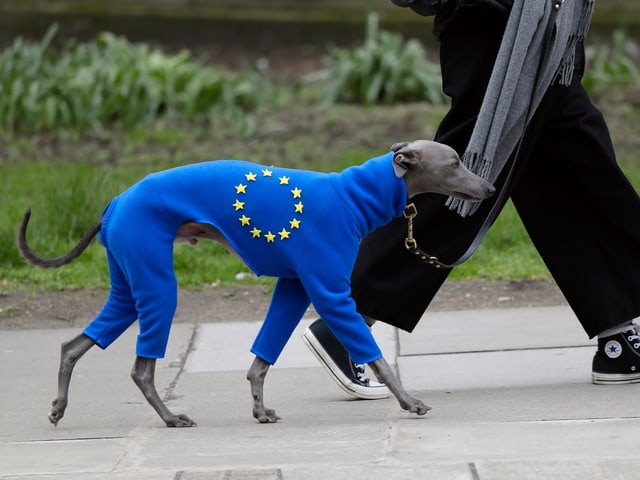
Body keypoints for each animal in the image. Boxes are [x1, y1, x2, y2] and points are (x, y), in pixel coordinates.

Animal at [16, 140, 496, 428]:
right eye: (455, 162)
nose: (491, 189)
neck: (351, 197)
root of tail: (114, 201)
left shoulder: (294, 287)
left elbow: (262, 358)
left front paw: (260, 409)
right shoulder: (329, 291)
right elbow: (374, 354)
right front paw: (409, 402)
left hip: (128, 284)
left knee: (73, 345)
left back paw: (59, 408)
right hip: (156, 283)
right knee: (140, 368)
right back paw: (171, 418)